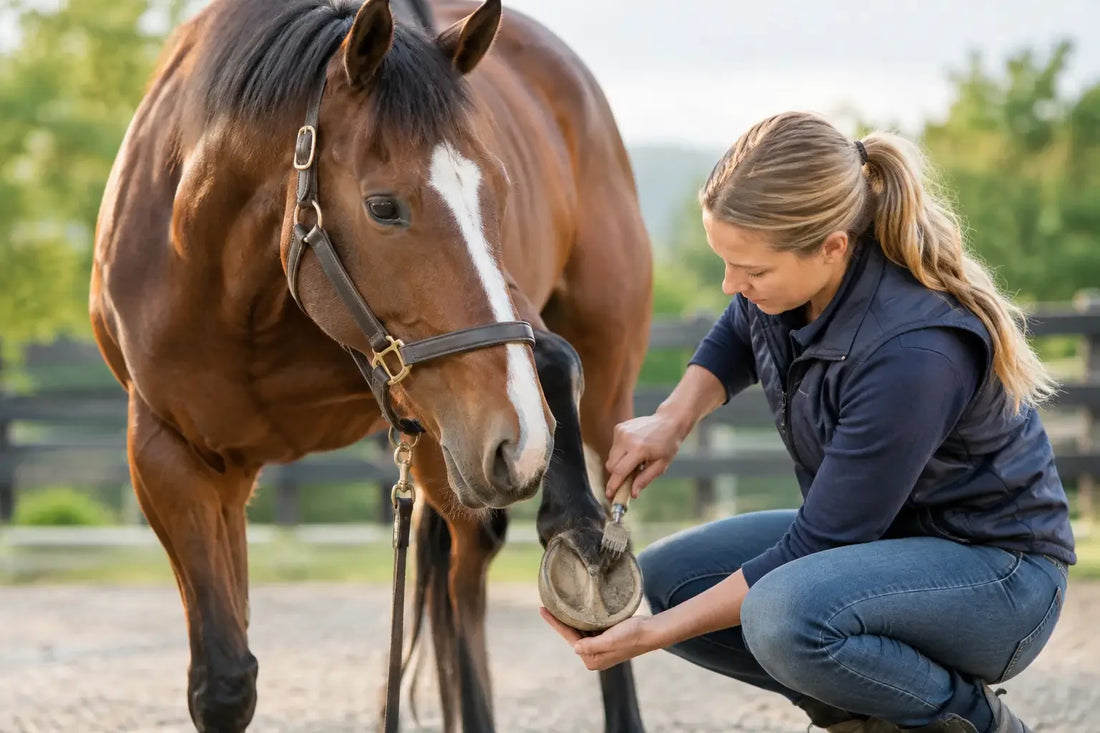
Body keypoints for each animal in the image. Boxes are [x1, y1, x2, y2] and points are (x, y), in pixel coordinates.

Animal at [89, 0, 652, 730]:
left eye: (497, 192)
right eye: (383, 206)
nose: (521, 441)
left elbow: (554, 362)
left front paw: (573, 526)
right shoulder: (174, 458)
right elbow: (224, 681)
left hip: (579, 397)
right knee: (459, 590)